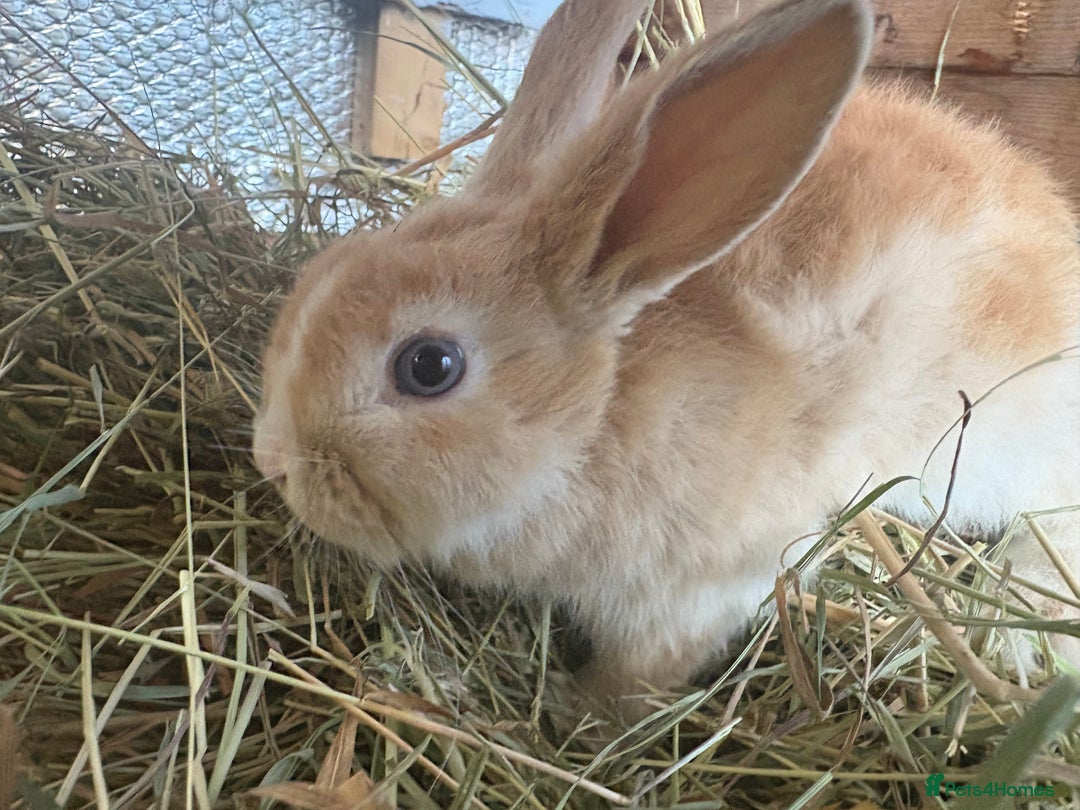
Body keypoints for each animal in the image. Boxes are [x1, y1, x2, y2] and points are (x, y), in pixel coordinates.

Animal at [253, 0, 1080, 700]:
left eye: (428, 366)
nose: (274, 462)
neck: (595, 422)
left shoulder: (702, 590)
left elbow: (643, 673)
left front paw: (582, 712)